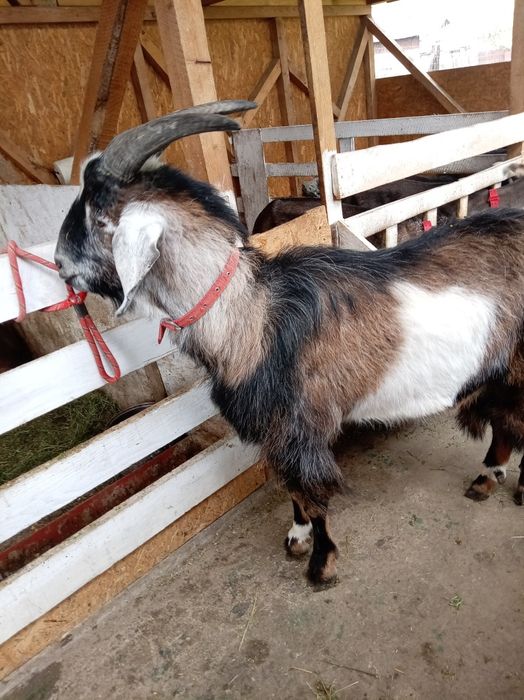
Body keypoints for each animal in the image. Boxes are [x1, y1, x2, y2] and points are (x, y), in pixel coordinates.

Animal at [55, 101, 524, 585]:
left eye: (97, 214)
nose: (59, 263)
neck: (253, 317)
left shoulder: (300, 430)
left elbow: (312, 495)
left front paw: (321, 563)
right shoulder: (275, 432)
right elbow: (292, 491)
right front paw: (296, 537)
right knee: (507, 420)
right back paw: (490, 478)